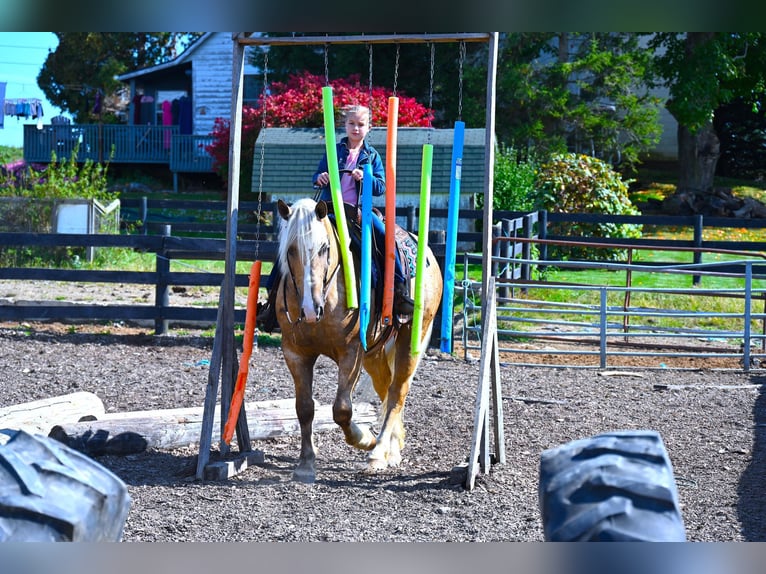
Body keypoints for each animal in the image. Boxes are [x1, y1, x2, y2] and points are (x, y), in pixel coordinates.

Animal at [274, 198, 444, 486]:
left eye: (324, 248)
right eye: (291, 249)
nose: (310, 309)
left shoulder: (351, 353)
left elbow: (342, 410)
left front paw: (364, 438)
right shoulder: (295, 352)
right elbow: (304, 408)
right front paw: (306, 463)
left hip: (412, 337)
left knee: (397, 392)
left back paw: (378, 453)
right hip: (373, 355)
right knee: (386, 389)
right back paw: (392, 450)